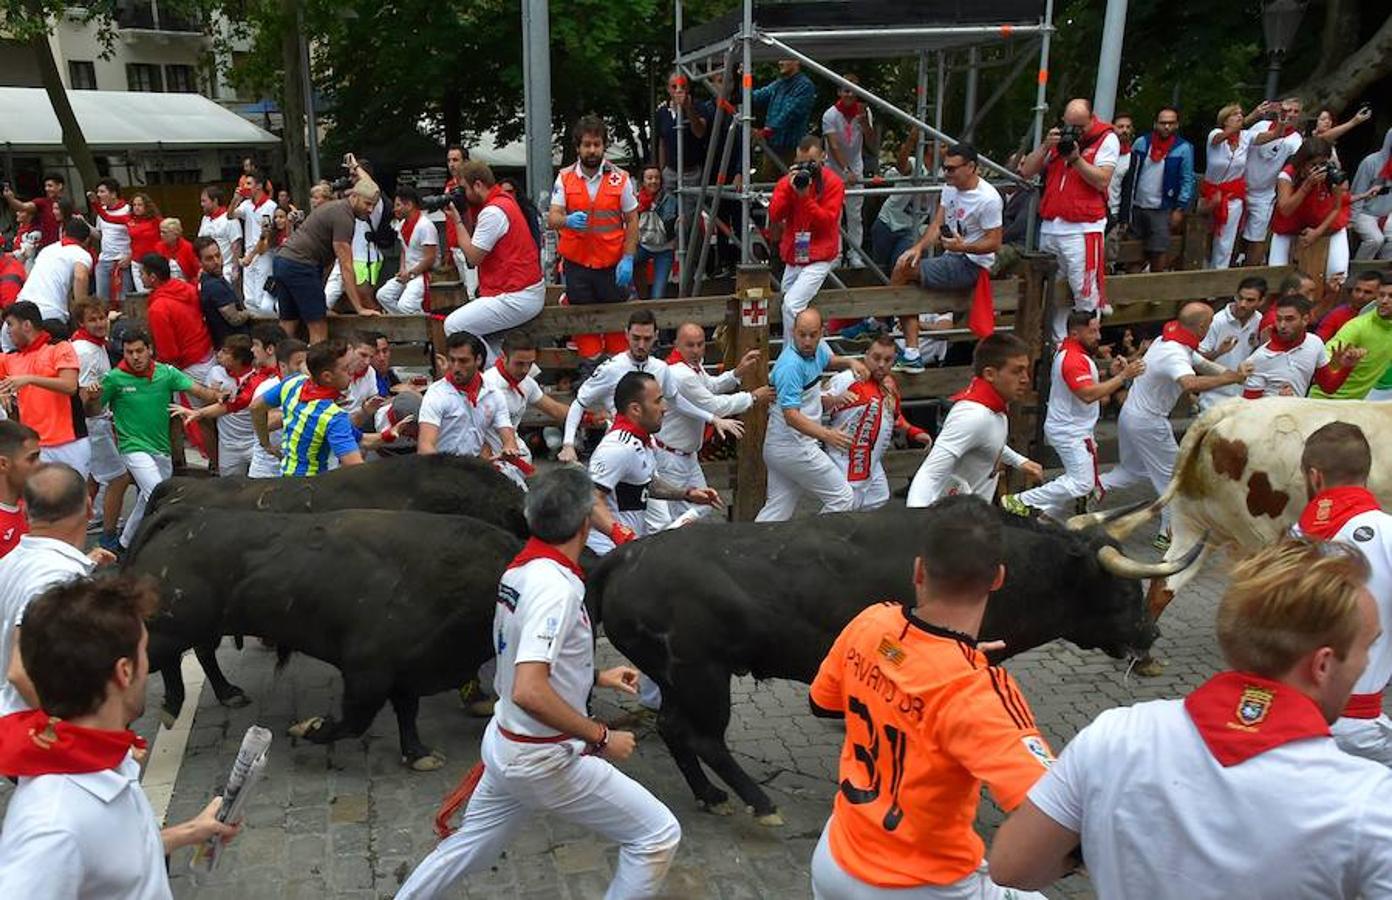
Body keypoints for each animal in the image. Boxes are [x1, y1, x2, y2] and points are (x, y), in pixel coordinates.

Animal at [126, 506, 523, 767]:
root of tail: (185, 518)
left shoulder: (405, 674)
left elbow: (406, 715)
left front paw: (419, 755)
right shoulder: (368, 674)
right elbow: (354, 722)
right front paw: (308, 728)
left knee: (193, 655)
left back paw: (212, 697)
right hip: (170, 630)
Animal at [587, 506, 1197, 823]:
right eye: (1123, 591)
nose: (1150, 634)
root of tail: (626, 553)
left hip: (674, 676)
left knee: (674, 729)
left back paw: (711, 797)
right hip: (702, 674)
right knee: (705, 737)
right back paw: (759, 802)